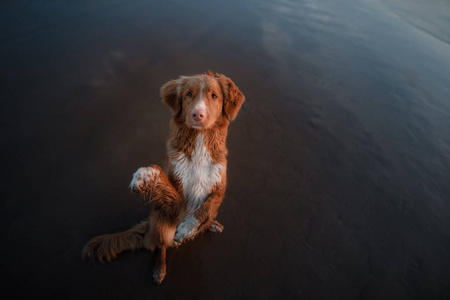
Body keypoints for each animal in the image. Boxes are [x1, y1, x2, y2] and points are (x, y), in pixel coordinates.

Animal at [83, 71, 246, 284]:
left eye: (214, 96)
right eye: (189, 94)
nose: (197, 114)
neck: (199, 144)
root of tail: (148, 227)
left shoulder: (219, 187)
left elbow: (206, 208)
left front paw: (187, 227)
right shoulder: (177, 202)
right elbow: (163, 180)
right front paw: (145, 174)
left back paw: (212, 225)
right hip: (161, 225)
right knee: (161, 246)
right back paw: (159, 269)